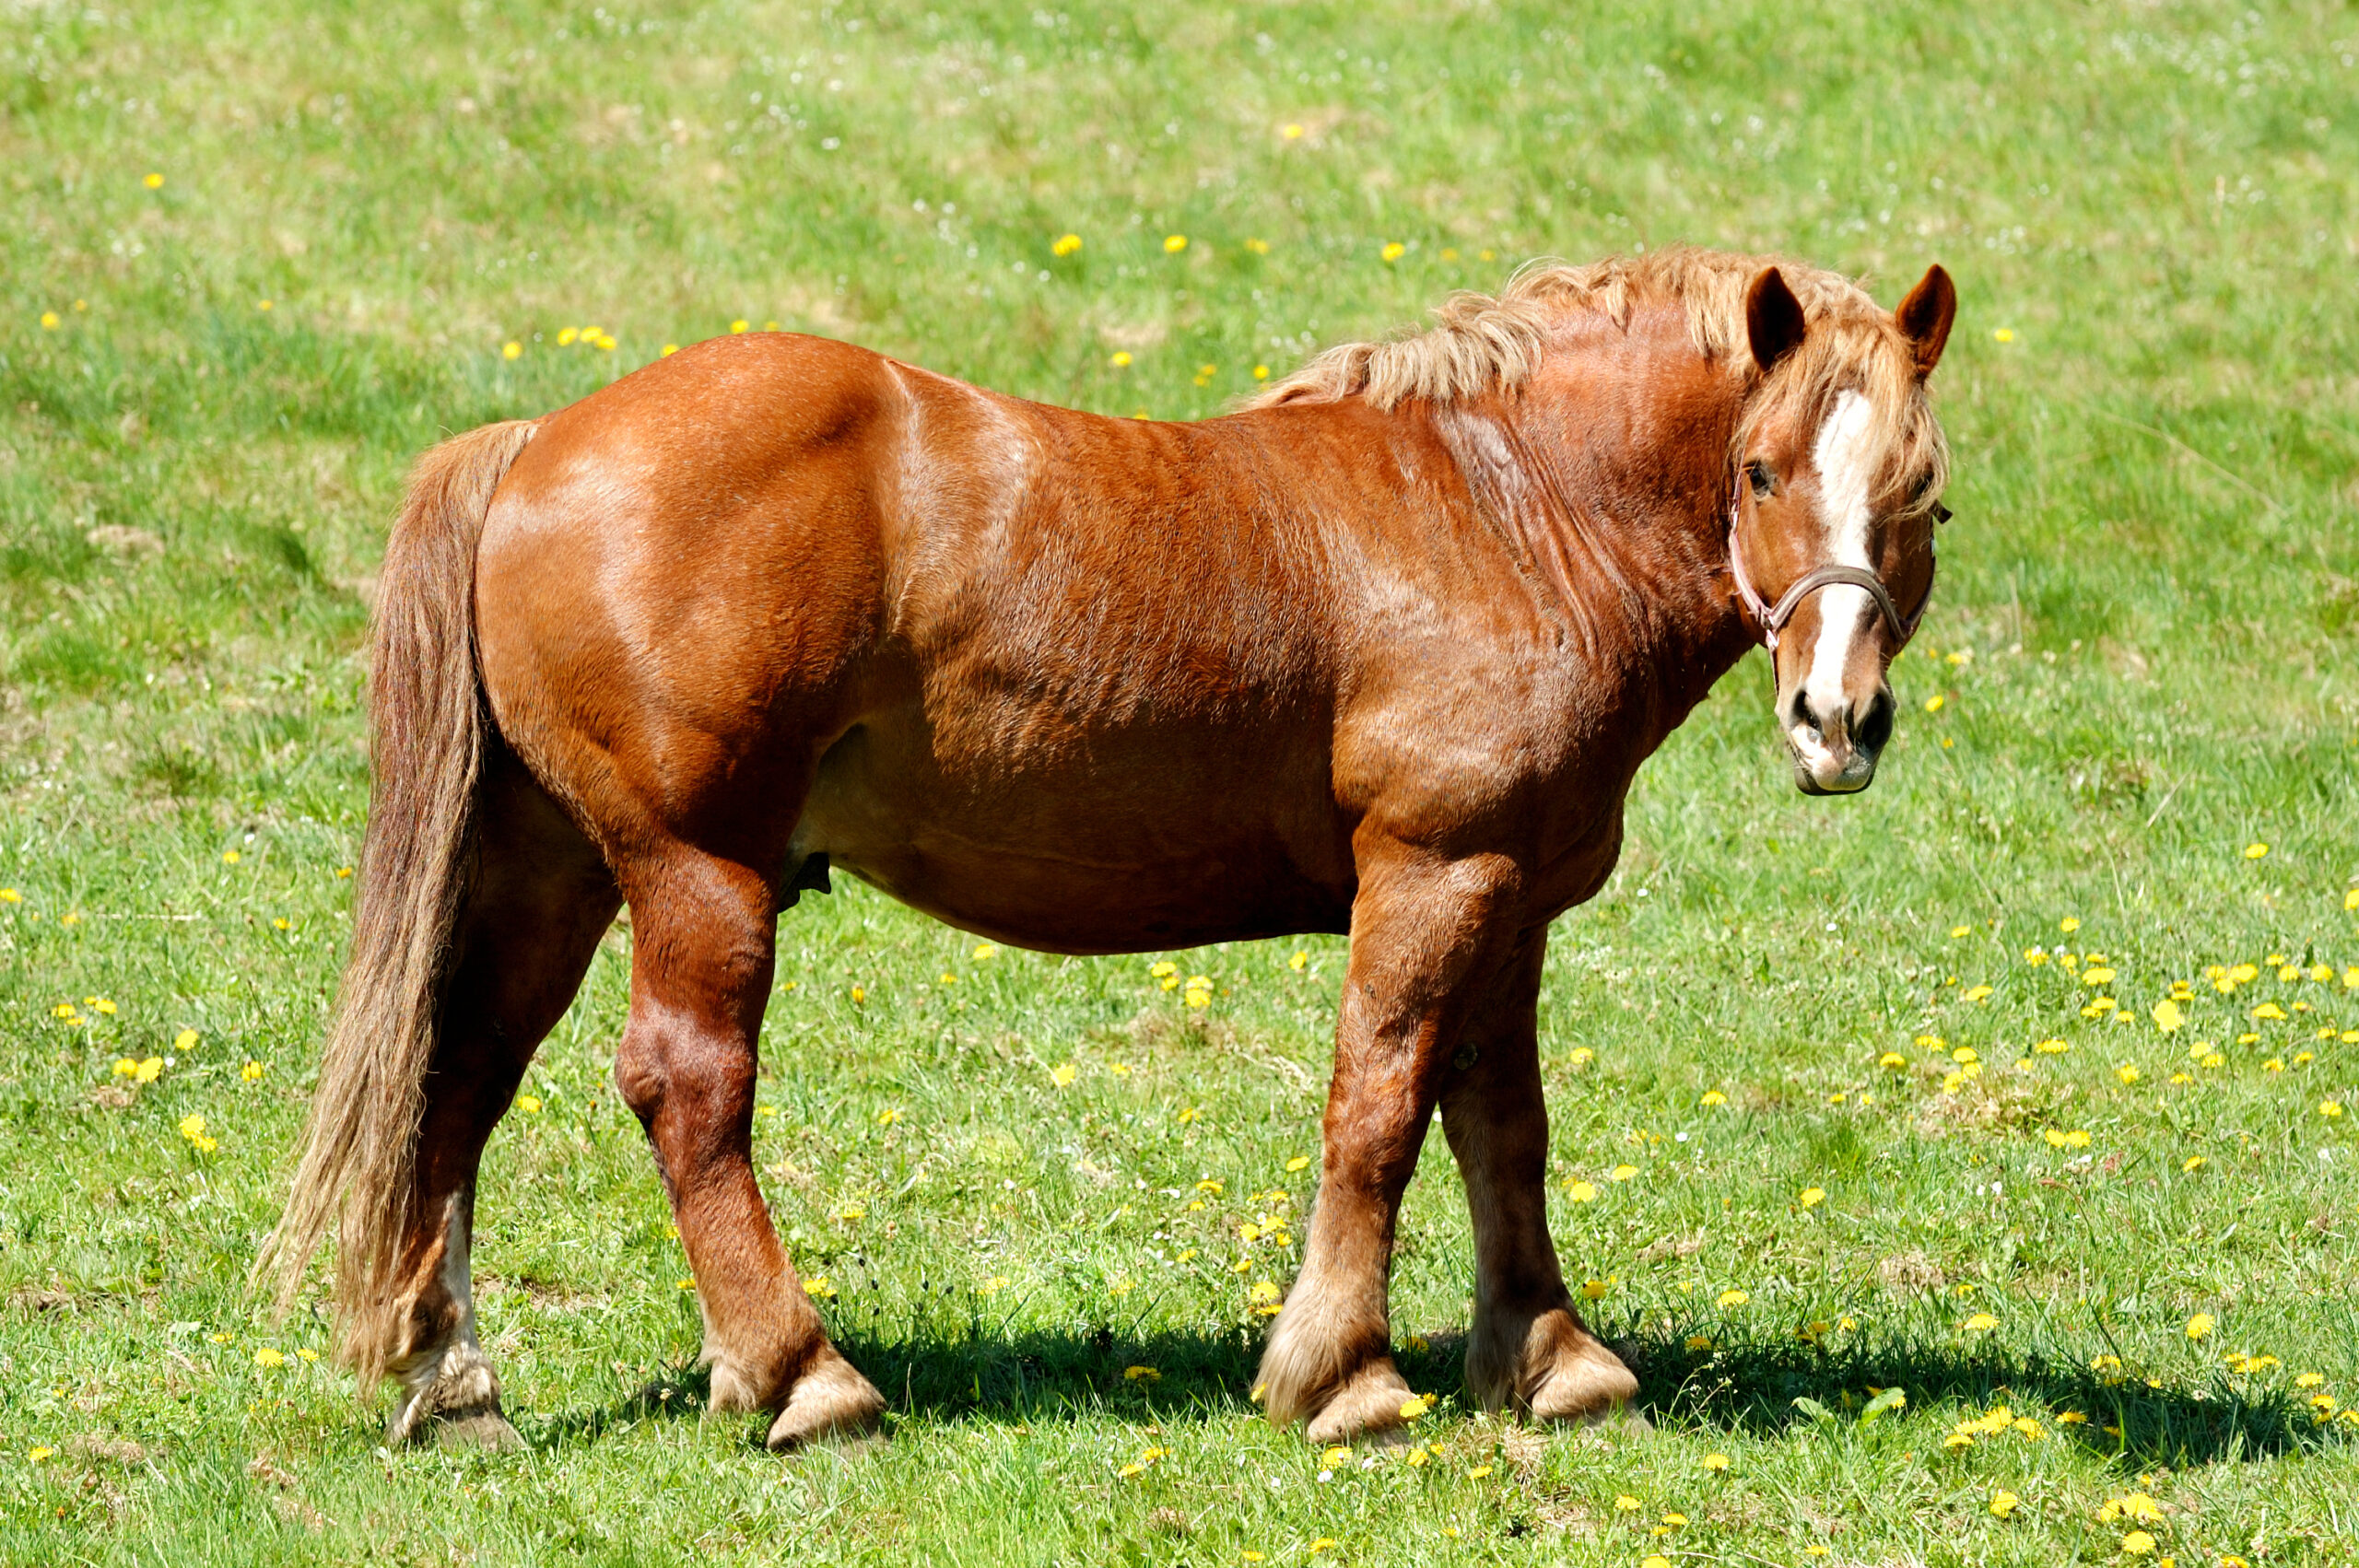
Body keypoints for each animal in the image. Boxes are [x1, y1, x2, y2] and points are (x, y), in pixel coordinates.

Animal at [262, 247, 1956, 1452]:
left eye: (1922, 498)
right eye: (1760, 471)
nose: (1837, 717)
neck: (1499, 508)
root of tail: (538, 440)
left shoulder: (1512, 898)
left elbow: (1502, 1123)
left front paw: (1547, 1357)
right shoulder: (1433, 873)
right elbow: (1378, 1110)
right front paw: (1340, 1374)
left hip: (553, 871)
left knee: (459, 1078)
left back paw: (456, 1382)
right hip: (695, 869)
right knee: (685, 1092)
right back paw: (803, 1375)